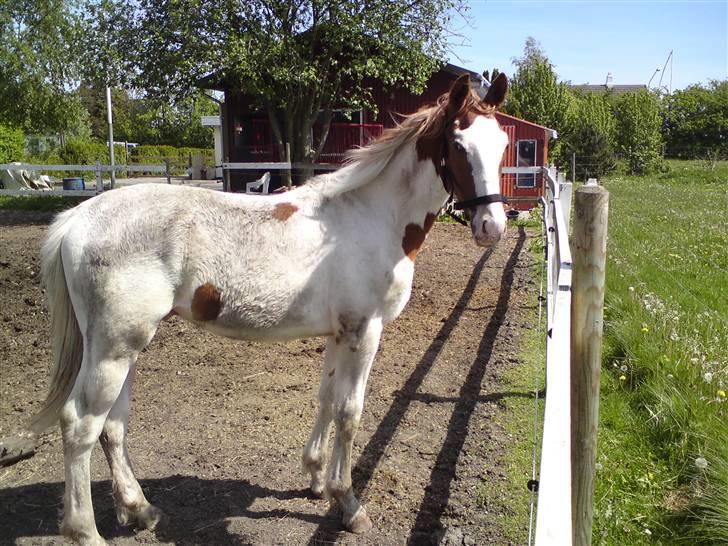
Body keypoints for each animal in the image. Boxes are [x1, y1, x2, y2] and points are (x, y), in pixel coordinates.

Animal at [31, 73, 510, 544]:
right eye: (459, 145)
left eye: (504, 144)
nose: (492, 227)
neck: (373, 217)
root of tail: (77, 219)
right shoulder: (364, 331)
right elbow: (349, 412)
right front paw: (348, 504)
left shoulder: (339, 333)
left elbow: (326, 399)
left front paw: (316, 479)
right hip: (114, 348)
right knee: (80, 424)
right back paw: (86, 530)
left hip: (122, 347)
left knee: (113, 426)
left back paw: (139, 510)